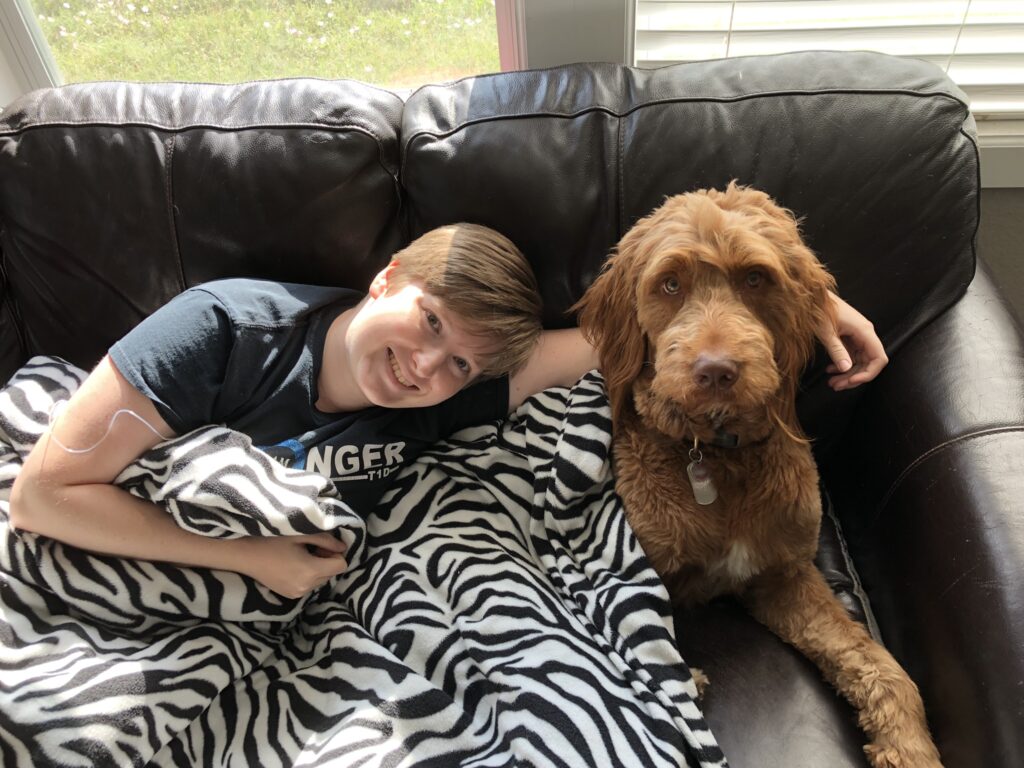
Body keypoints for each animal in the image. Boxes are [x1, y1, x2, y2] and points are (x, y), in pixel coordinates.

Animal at [573, 185, 937, 768]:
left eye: (755, 278)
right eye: (670, 284)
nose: (715, 370)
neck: (716, 457)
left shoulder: (782, 576)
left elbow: (877, 664)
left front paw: (908, 747)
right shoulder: (642, 569)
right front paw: (685, 682)